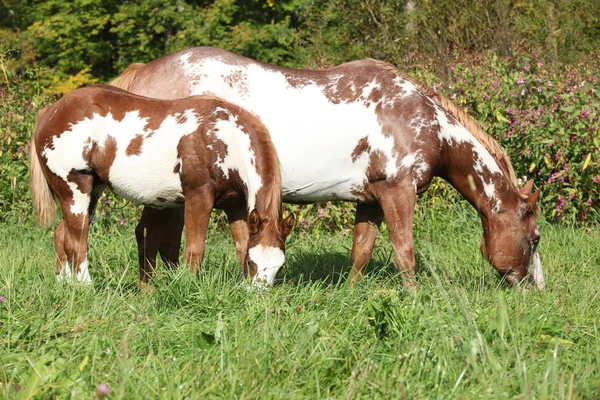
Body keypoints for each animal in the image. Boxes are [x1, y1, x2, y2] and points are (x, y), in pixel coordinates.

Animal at [31, 85, 294, 288]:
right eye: (253, 263)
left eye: (279, 267)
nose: (257, 297)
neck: (226, 137)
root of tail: (50, 112)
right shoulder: (198, 197)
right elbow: (195, 249)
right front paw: (189, 286)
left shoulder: (236, 206)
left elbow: (240, 245)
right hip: (75, 191)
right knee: (77, 242)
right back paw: (87, 288)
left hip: (91, 194)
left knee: (62, 236)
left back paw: (66, 286)